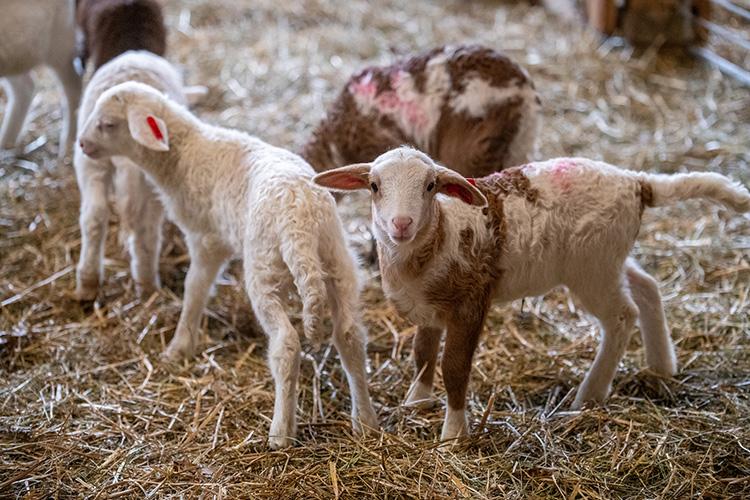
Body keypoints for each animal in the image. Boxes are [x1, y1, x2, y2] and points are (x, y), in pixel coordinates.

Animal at [0, 0, 81, 160]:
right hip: (13, 51)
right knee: (26, 87)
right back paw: (7, 142)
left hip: (60, 41)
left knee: (73, 88)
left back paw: (68, 147)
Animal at [74, 51, 187, 301]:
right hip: (148, 183)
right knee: (146, 230)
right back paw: (147, 286)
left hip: (91, 165)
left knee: (94, 216)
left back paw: (88, 284)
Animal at [76, 81, 379, 449]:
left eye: (108, 124)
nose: (82, 145)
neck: (183, 154)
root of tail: (300, 220)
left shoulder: (206, 238)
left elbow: (194, 288)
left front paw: (179, 346)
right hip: (337, 260)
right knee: (350, 336)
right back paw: (366, 423)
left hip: (265, 268)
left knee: (286, 345)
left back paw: (281, 432)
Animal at [313, 147, 750, 441]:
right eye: (374, 186)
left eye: (431, 186)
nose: (400, 223)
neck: (435, 239)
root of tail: (636, 182)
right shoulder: (430, 307)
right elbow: (422, 355)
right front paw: (414, 403)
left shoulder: (471, 303)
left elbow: (454, 368)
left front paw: (453, 434)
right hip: (608, 258)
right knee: (647, 288)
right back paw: (661, 365)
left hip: (592, 267)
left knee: (621, 315)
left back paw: (590, 394)